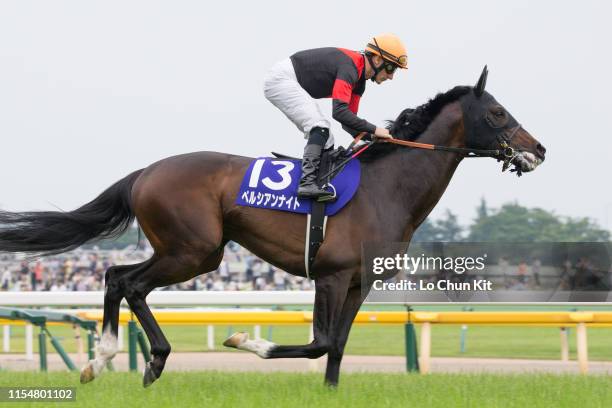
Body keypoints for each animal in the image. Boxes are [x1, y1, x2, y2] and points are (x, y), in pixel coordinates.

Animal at [0, 67, 544, 386]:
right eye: (498, 112)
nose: (538, 149)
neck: (386, 188)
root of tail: (146, 172)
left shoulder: (360, 282)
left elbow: (338, 345)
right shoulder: (330, 275)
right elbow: (319, 342)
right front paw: (243, 340)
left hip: (189, 250)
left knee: (116, 278)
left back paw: (109, 358)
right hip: (196, 251)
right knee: (129, 282)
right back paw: (139, 358)